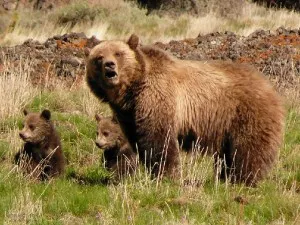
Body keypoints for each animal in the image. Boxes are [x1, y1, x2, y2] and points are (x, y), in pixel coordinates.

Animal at [85, 34, 284, 185]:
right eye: (98, 57)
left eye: (118, 53)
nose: (109, 64)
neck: (133, 90)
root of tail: (269, 86)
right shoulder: (129, 114)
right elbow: (138, 141)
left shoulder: (158, 98)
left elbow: (160, 141)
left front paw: (165, 175)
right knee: (228, 154)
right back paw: (224, 178)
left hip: (246, 112)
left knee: (248, 148)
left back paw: (243, 179)